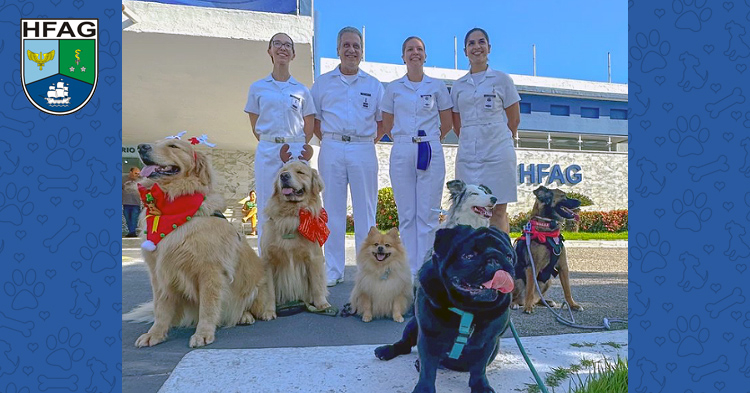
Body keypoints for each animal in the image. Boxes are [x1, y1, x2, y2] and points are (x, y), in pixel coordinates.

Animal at [123, 137, 276, 346]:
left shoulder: (210, 271)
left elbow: (208, 306)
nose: (141, 147)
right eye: (156, 142)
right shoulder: (159, 273)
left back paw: (255, 314)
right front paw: (155, 334)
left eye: (173, 146)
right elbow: (160, 308)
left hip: (258, 285)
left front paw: (203, 333)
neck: (171, 205)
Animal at [260, 159, 330, 310]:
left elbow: (317, 284)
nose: (284, 176)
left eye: (300, 172)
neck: (290, 216)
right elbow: (269, 291)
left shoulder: (314, 258)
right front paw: (269, 310)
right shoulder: (267, 260)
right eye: (282, 171)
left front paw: (321, 303)